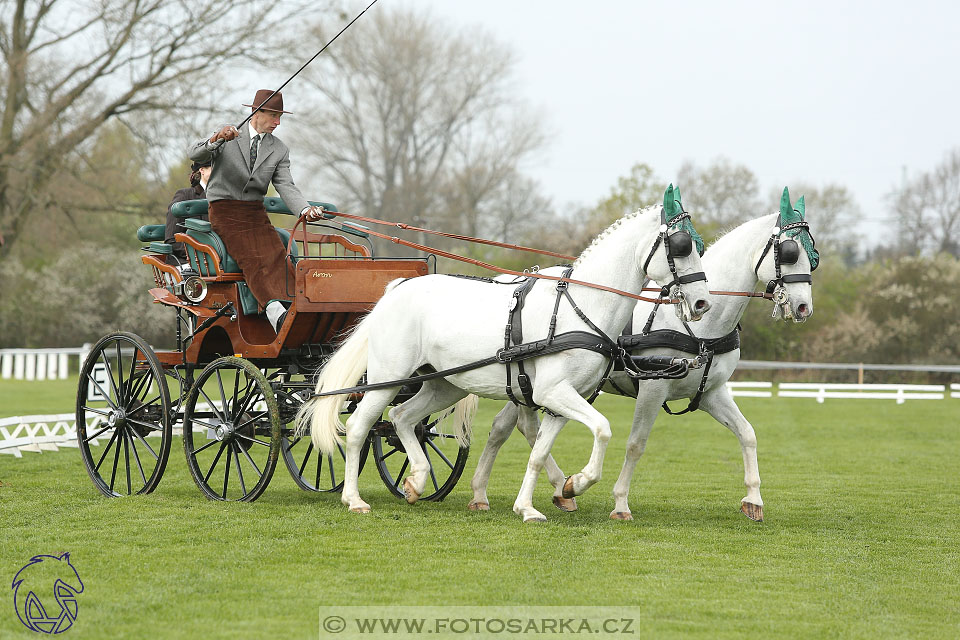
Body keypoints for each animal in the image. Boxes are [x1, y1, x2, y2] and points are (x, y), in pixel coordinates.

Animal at [300, 185, 712, 520]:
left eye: (698, 245)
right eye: (681, 247)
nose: (702, 303)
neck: (582, 305)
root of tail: (396, 289)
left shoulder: (559, 399)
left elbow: (539, 452)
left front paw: (534, 504)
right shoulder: (554, 392)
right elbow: (603, 428)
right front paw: (577, 482)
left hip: (445, 384)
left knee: (402, 418)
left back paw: (416, 481)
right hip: (388, 377)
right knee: (359, 427)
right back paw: (354, 499)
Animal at [472, 188, 816, 524]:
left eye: (813, 255)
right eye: (790, 252)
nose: (803, 307)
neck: (699, 328)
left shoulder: (710, 392)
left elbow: (747, 434)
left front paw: (753, 500)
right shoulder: (653, 388)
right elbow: (636, 444)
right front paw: (620, 503)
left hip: (525, 383)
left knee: (506, 427)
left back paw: (491, 493)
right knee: (523, 427)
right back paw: (550, 488)